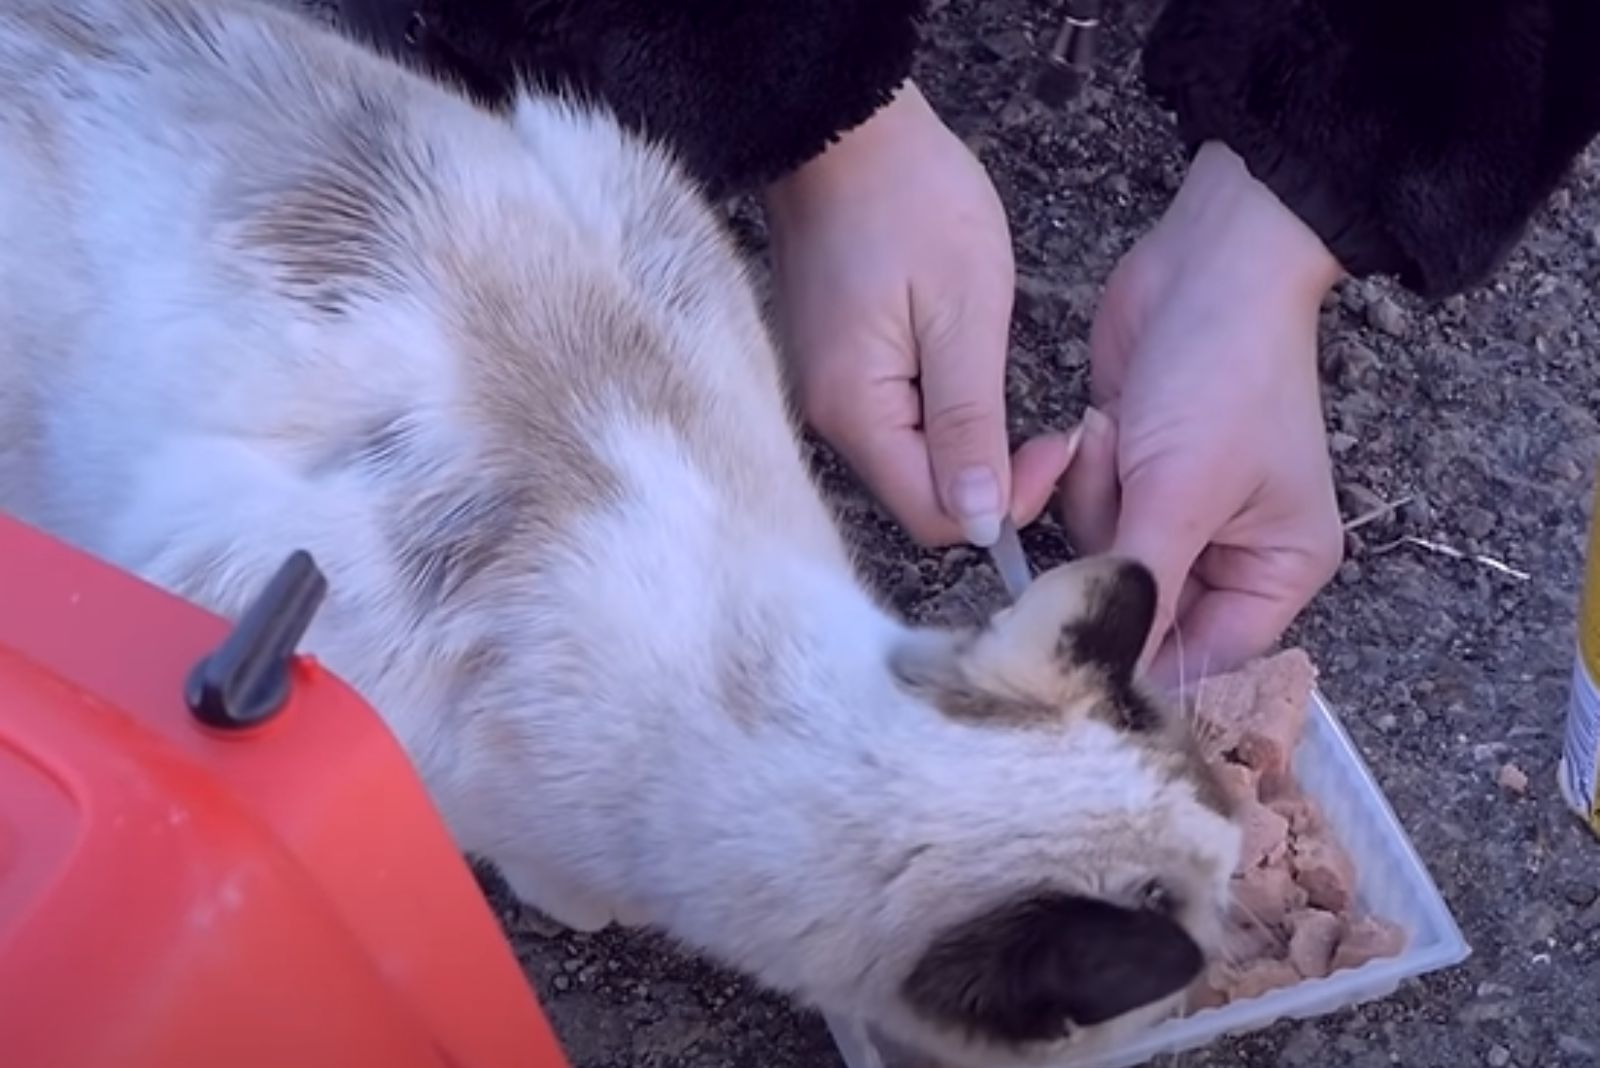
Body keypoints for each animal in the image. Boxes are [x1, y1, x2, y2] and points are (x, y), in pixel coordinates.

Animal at [0, 4, 1235, 1061]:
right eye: (1208, 924)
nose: (1244, 909)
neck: (746, 697)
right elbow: (548, 873)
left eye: (1229, 823)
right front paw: (578, 907)